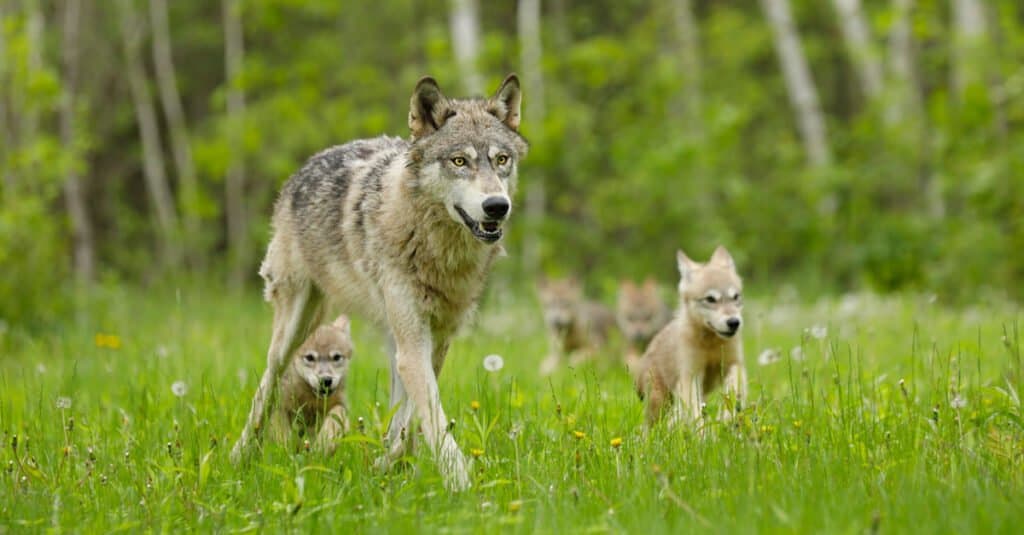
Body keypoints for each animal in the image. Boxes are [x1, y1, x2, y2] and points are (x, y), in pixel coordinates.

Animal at [232, 72, 528, 489]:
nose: (497, 206)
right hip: (295, 327)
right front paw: (461, 484)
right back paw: (240, 455)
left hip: (390, 338)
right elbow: (432, 418)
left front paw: (387, 466)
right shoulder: (414, 344)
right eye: (459, 161)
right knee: (266, 384)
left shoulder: (435, 342)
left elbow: (411, 421)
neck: (437, 249)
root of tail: (306, 166)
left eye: (501, 160)